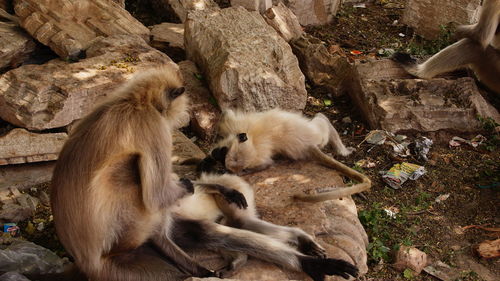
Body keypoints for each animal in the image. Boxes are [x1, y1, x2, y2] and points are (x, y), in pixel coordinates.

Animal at [199, 107, 372, 201]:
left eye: (223, 154)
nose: (215, 154)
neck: (252, 139)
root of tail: (309, 146)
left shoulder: (236, 126)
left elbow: (226, 114)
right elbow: (267, 164)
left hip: (317, 132)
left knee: (322, 118)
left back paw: (342, 149)